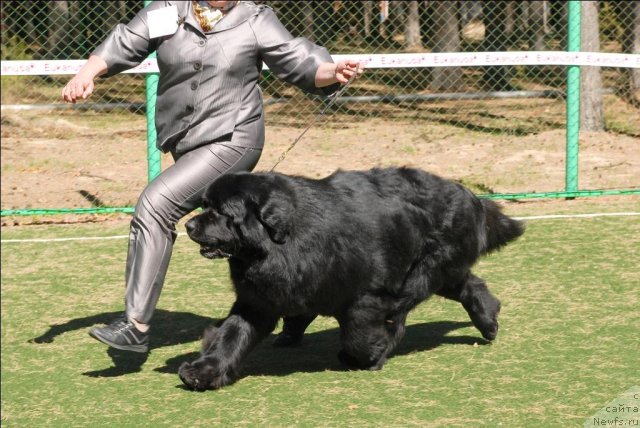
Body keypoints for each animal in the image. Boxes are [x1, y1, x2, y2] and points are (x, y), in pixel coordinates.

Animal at [178, 167, 524, 392]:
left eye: (221, 212)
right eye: (204, 205)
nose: (190, 226)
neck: (281, 241)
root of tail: (467, 193)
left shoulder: (369, 294)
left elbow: (359, 331)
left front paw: (368, 355)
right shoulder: (258, 301)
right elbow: (232, 335)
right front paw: (204, 371)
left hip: (422, 273)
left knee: (406, 309)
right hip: (439, 271)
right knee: (467, 284)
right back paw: (489, 318)